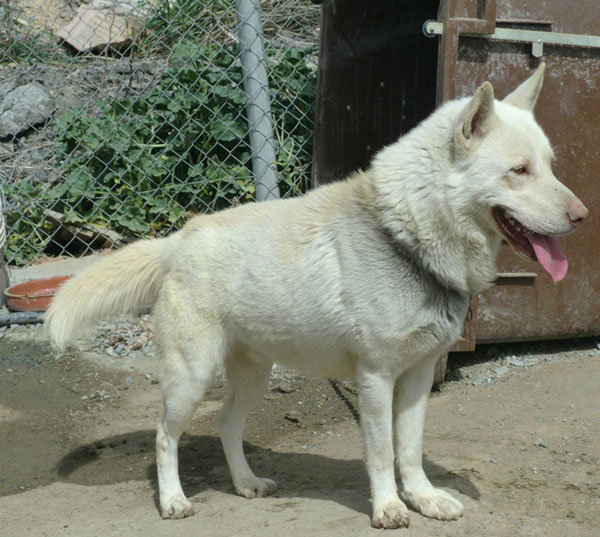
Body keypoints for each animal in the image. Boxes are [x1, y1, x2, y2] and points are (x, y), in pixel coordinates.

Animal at [47, 63, 584, 528]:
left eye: (551, 166)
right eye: (519, 170)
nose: (581, 216)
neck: (405, 236)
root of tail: (182, 237)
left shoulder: (416, 378)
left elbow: (409, 450)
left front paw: (424, 498)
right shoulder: (376, 379)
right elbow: (382, 452)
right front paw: (389, 507)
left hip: (254, 376)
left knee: (227, 425)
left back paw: (245, 483)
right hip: (190, 378)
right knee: (165, 436)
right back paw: (173, 500)